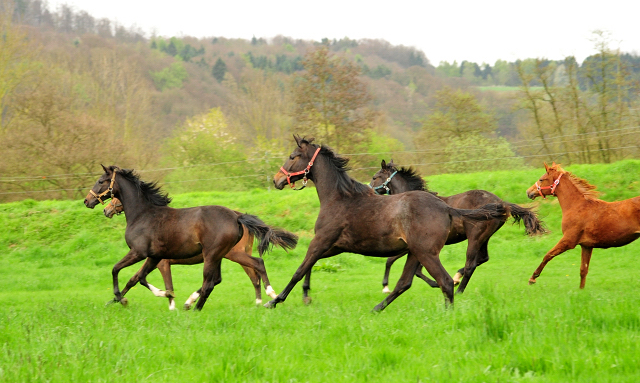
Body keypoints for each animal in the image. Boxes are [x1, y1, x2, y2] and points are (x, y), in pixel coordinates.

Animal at [104, 198, 282, 308]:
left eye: (116, 198)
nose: (106, 210)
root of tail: (238, 218)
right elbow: (133, 280)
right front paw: (115, 300)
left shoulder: (161, 263)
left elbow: (165, 284)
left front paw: (171, 304)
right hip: (220, 256)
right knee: (239, 276)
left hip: (231, 255)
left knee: (255, 268)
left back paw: (267, 297)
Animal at [264, 135, 510, 312]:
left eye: (293, 156)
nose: (276, 179)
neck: (339, 198)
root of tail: (446, 208)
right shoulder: (335, 246)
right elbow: (310, 266)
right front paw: (306, 295)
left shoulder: (322, 240)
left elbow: (300, 269)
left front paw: (275, 300)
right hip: (416, 252)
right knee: (406, 282)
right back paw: (377, 308)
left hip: (430, 252)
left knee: (448, 279)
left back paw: (448, 310)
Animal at [370, 160, 544, 296]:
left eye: (374, 177)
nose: (369, 191)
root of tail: (501, 203)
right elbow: (408, 267)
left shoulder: (416, 244)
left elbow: (395, 262)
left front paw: (385, 286)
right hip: (484, 237)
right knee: (483, 258)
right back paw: (456, 278)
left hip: (475, 236)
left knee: (470, 264)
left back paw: (459, 289)